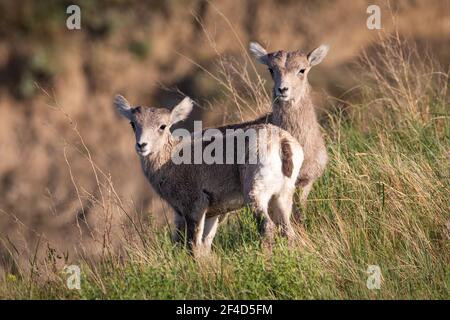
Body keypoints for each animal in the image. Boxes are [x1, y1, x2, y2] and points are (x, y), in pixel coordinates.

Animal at [113, 94, 302, 256]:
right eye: (133, 124)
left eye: (162, 126)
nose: (142, 145)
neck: (171, 160)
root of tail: (281, 141)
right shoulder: (211, 213)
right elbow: (204, 245)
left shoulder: (194, 207)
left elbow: (193, 246)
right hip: (282, 196)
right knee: (288, 231)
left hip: (256, 193)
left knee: (267, 226)